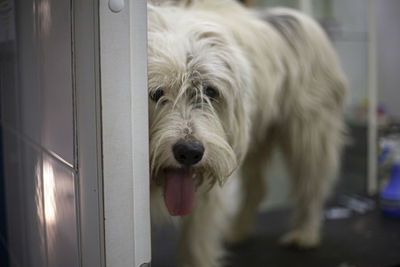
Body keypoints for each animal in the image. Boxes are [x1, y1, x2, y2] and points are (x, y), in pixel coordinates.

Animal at [147, 1, 346, 266]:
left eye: (210, 92)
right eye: (156, 93)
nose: (190, 153)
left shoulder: (211, 177)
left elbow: (195, 244)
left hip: (309, 135)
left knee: (310, 185)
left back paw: (305, 233)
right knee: (257, 187)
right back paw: (240, 230)